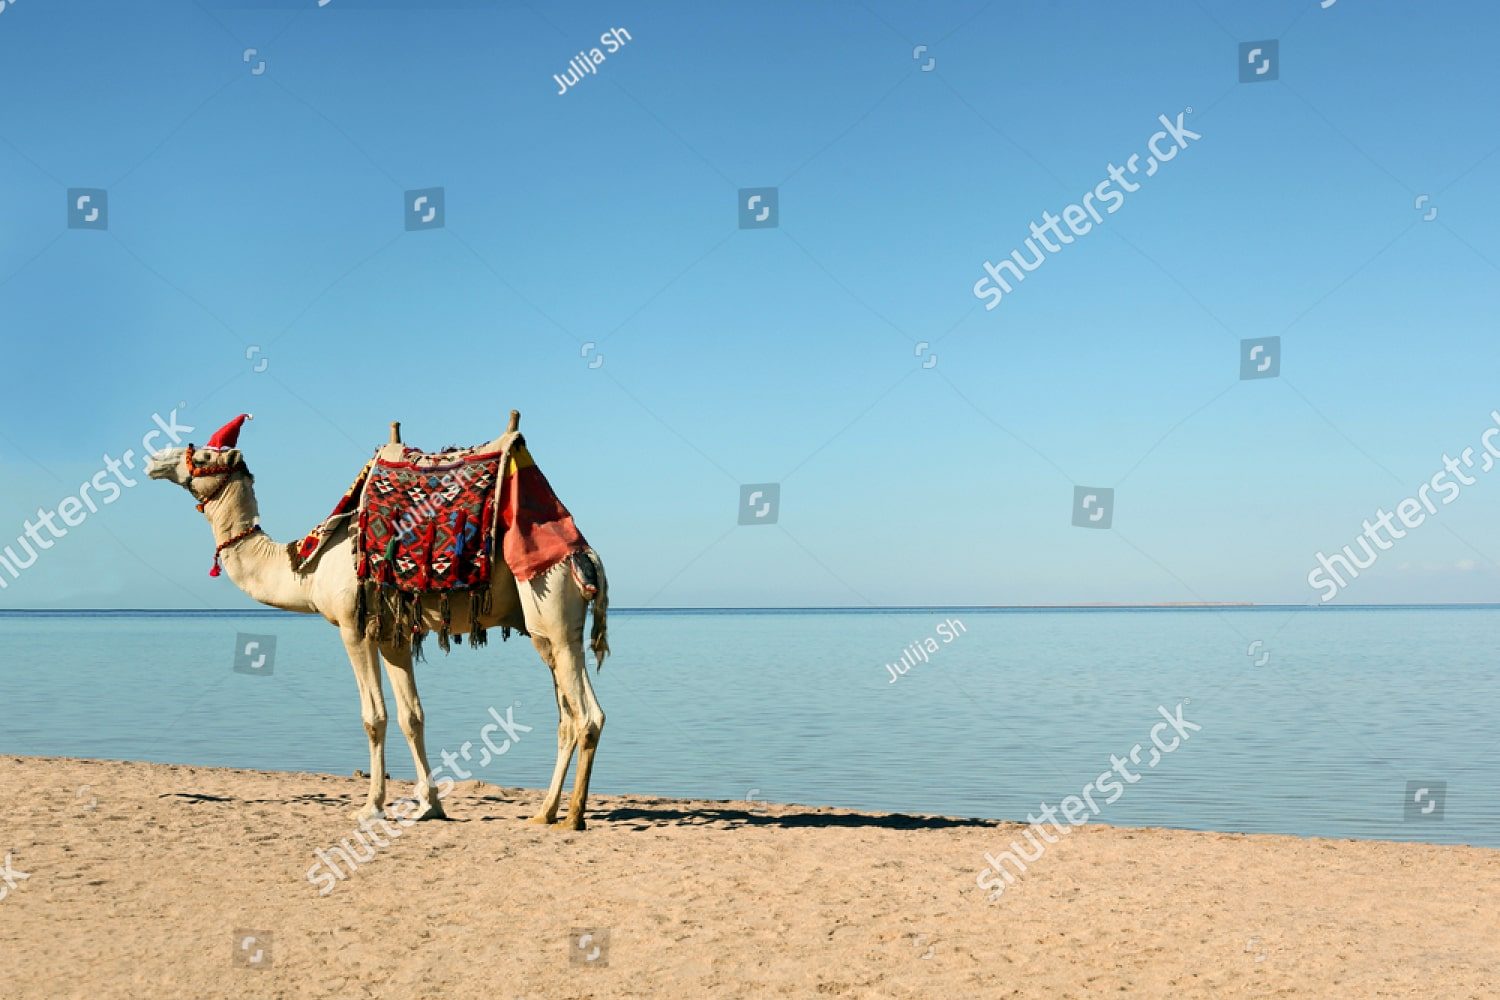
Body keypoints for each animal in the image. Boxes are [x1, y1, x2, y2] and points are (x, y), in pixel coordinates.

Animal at [145, 411, 610, 830]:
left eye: (205, 454)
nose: (155, 460)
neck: (307, 564)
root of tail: (587, 556)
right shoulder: (393, 635)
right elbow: (412, 716)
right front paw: (430, 806)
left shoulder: (354, 627)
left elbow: (375, 717)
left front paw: (371, 807)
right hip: (550, 632)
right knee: (570, 718)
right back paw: (545, 812)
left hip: (550, 606)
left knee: (585, 716)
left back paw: (572, 817)